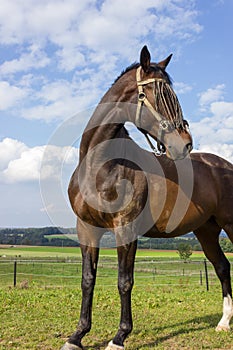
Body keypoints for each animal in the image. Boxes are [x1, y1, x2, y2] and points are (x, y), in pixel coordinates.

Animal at [60, 47, 233, 350]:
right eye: (161, 94)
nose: (185, 144)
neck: (99, 166)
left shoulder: (126, 229)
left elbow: (124, 281)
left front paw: (119, 337)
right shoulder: (86, 229)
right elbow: (87, 280)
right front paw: (77, 335)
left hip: (231, 224)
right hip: (207, 231)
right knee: (222, 267)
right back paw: (224, 322)